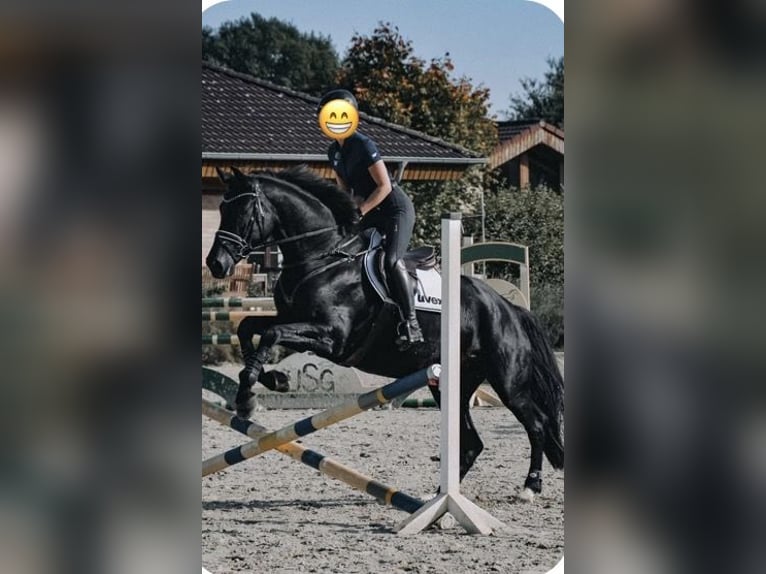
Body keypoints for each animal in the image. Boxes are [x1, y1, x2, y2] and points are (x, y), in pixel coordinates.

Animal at [206, 165, 563, 499]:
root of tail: (508, 308)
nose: (216, 264)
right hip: (452, 384)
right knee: (473, 442)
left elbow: (271, 335)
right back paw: (437, 497)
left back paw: (530, 487)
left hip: (507, 382)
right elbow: (250, 328)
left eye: (243, 211)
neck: (322, 256)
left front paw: (251, 396)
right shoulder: (291, 318)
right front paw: (264, 383)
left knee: (536, 424)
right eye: (222, 208)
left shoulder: (332, 337)